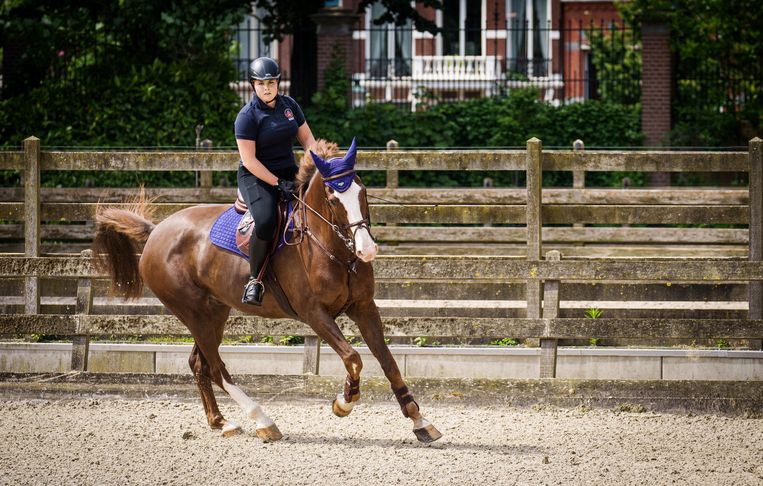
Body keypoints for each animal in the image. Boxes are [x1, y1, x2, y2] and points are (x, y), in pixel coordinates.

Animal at [93, 139, 442, 442]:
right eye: (332, 198)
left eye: (363, 191)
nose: (367, 250)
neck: (332, 250)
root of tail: (156, 232)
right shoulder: (314, 314)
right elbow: (353, 358)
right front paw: (344, 402)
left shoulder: (364, 307)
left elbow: (388, 361)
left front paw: (420, 421)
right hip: (191, 310)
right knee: (217, 368)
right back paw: (263, 421)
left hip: (213, 311)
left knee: (199, 363)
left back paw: (221, 423)